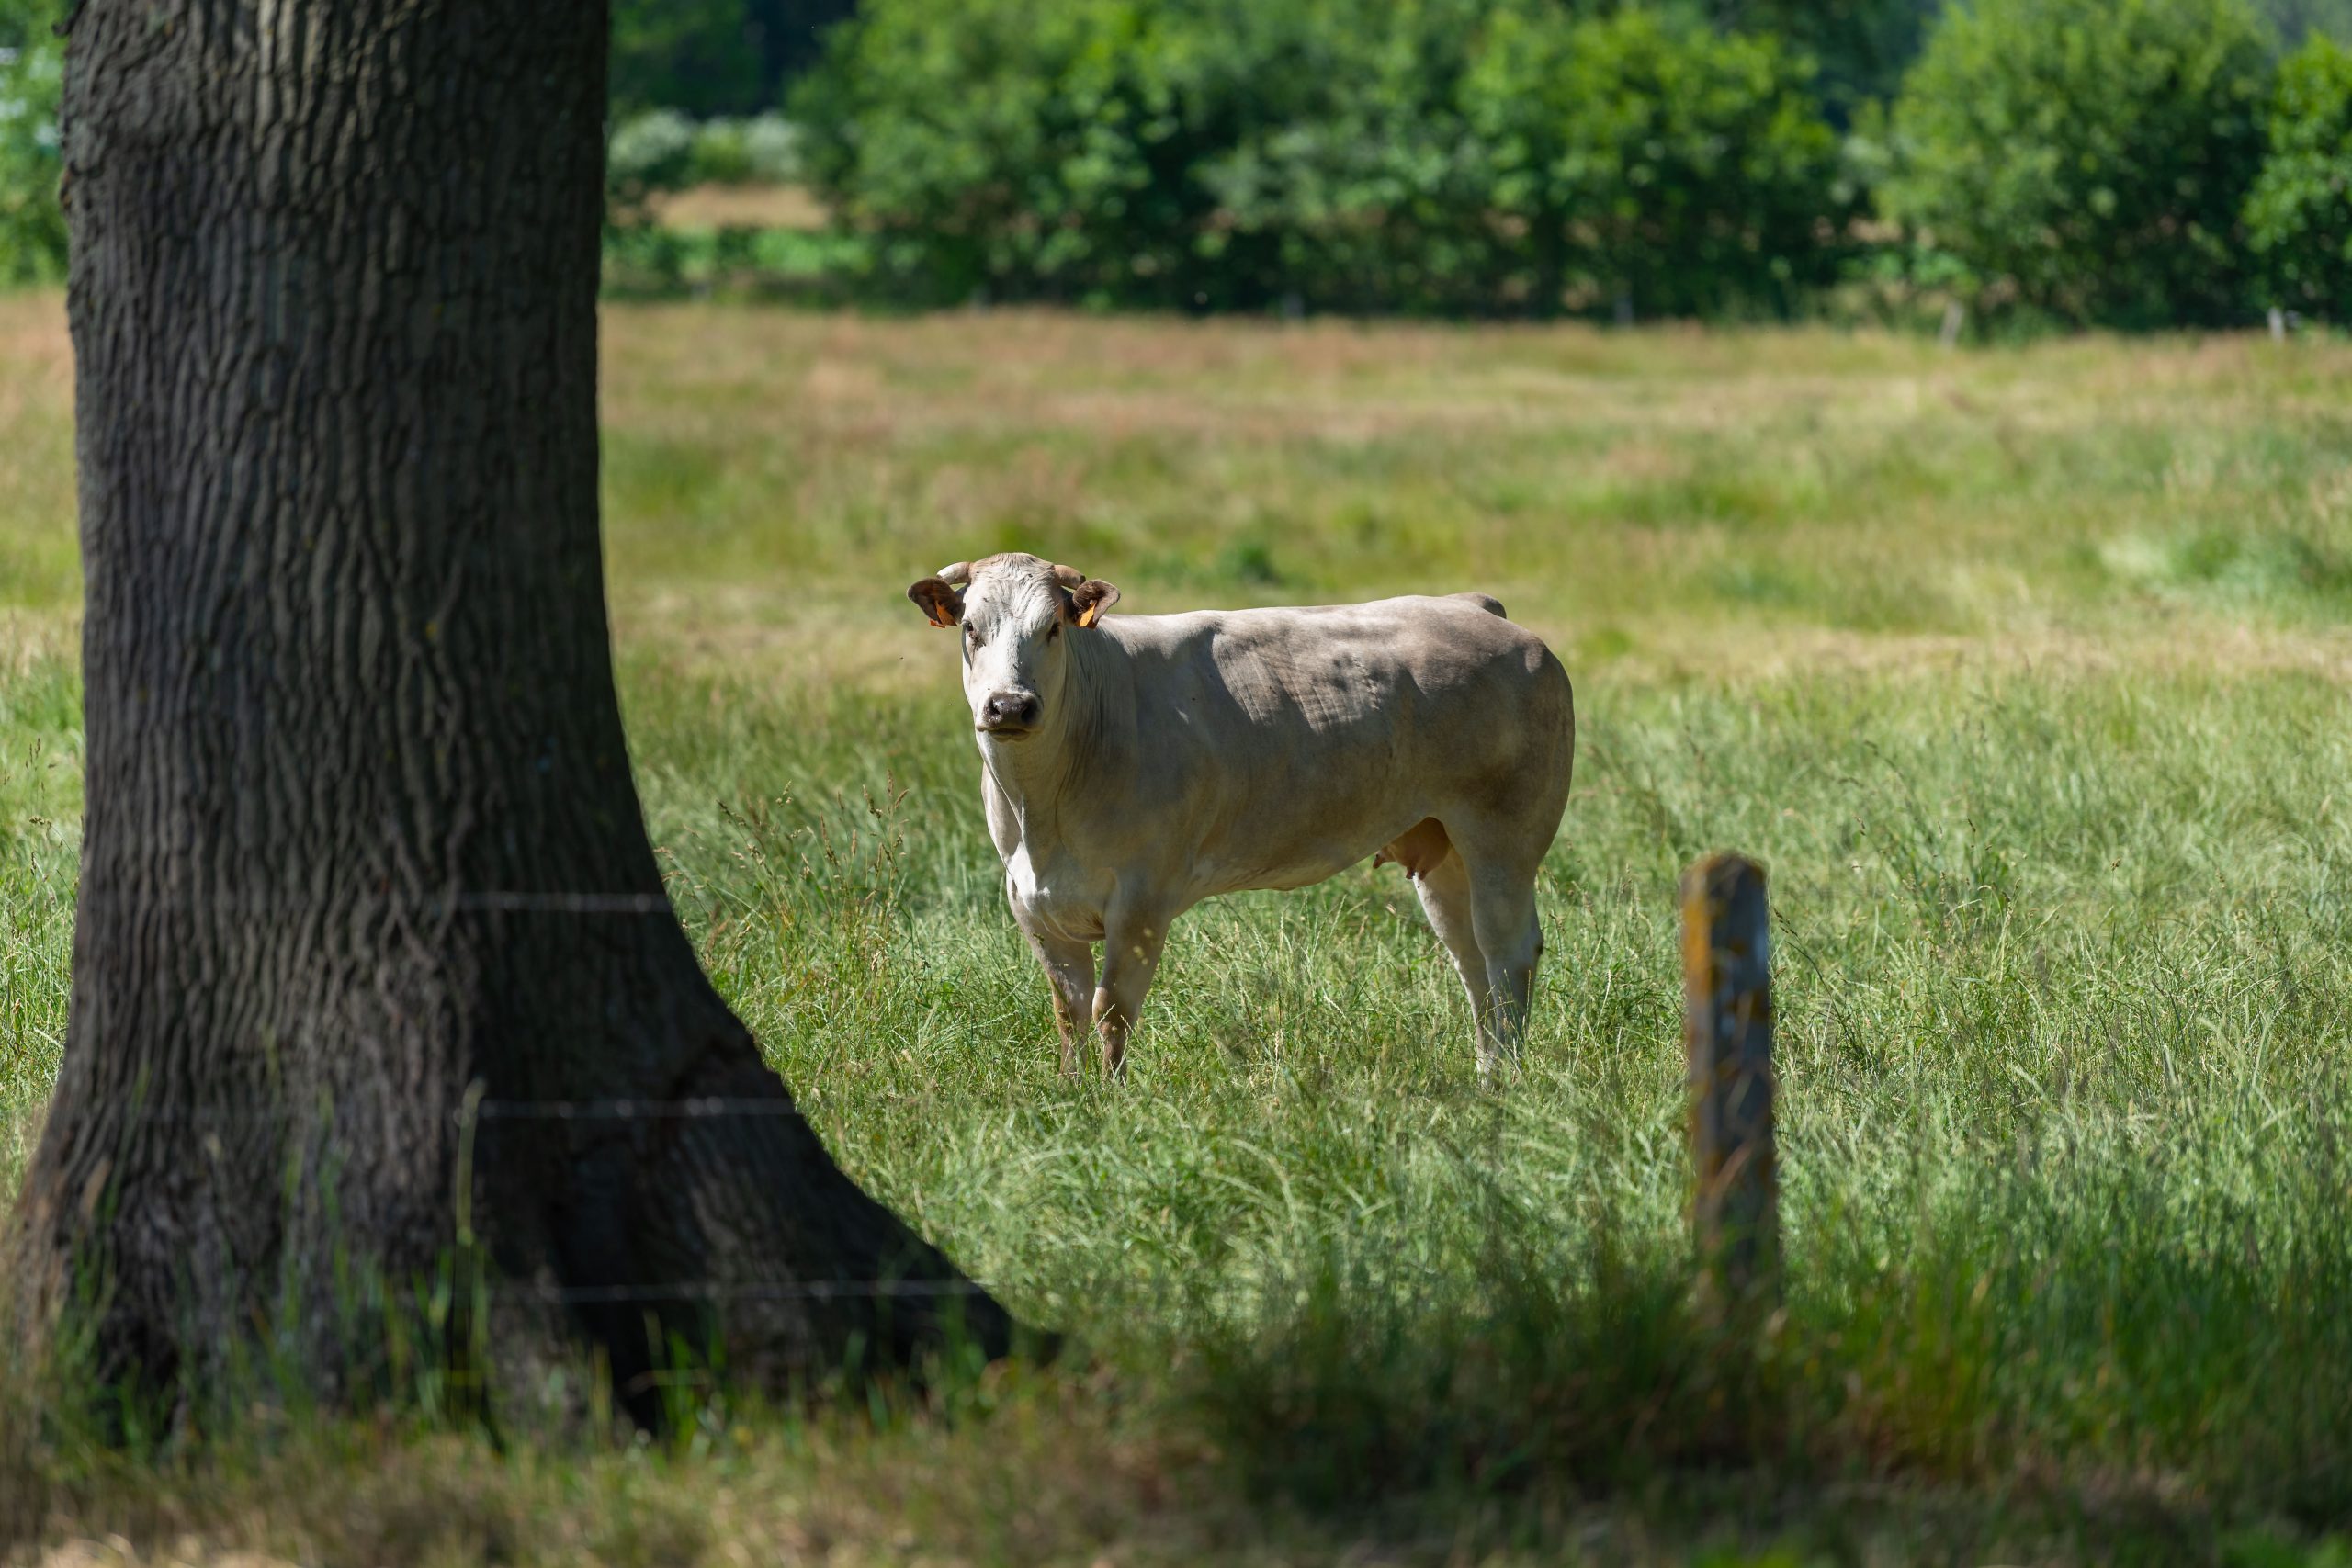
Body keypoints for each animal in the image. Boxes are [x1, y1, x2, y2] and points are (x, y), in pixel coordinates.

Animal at [908, 552, 1571, 1081]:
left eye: (1051, 629)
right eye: (971, 628)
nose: (1010, 705)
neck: (1042, 813)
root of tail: (1473, 607)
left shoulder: (1143, 899)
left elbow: (1111, 1010)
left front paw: (1114, 1102)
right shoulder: (1033, 903)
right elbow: (1068, 1011)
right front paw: (1075, 1096)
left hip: (1504, 836)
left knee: (1507, 952)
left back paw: (1507, 1082)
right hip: (1442, 847)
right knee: (1471, 959)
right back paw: (1486, 1074)